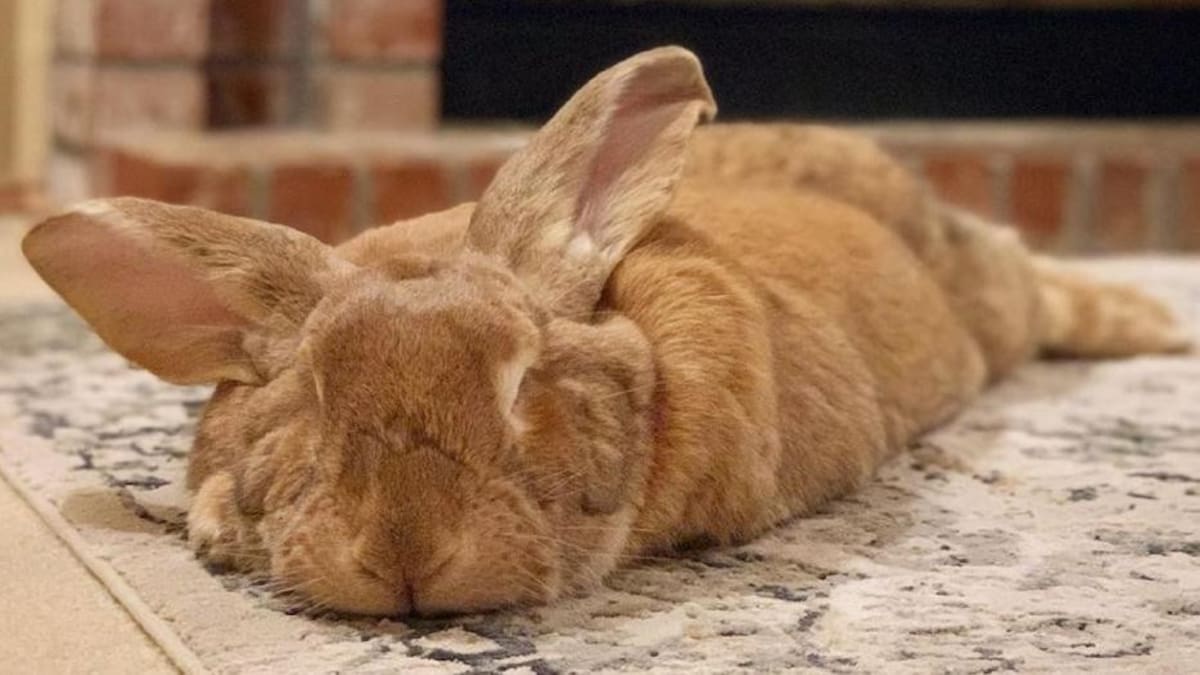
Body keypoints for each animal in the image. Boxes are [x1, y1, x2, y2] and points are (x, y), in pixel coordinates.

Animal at [22, 47, 1190, 617]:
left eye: (521, 382)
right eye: (310, 391)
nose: (406, 557)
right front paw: (217, 524)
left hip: (992, 299)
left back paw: (1162, 329)